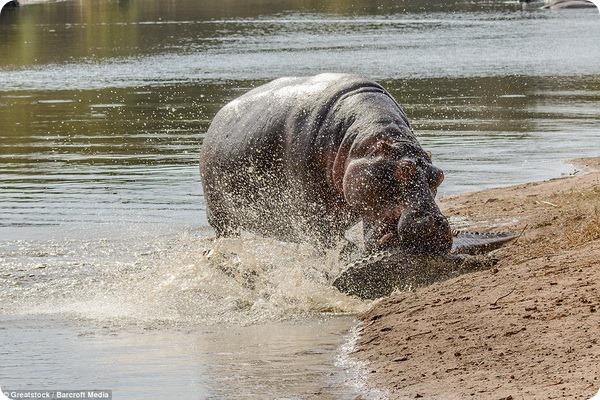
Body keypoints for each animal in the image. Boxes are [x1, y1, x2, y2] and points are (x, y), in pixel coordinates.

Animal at [199, 74, 452, 255]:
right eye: (404, 170)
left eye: (438, 176)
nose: (435, 224)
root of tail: (219, 116)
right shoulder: (312, 215)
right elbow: (329, 240)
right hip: (220, 215)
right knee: (226, 235)